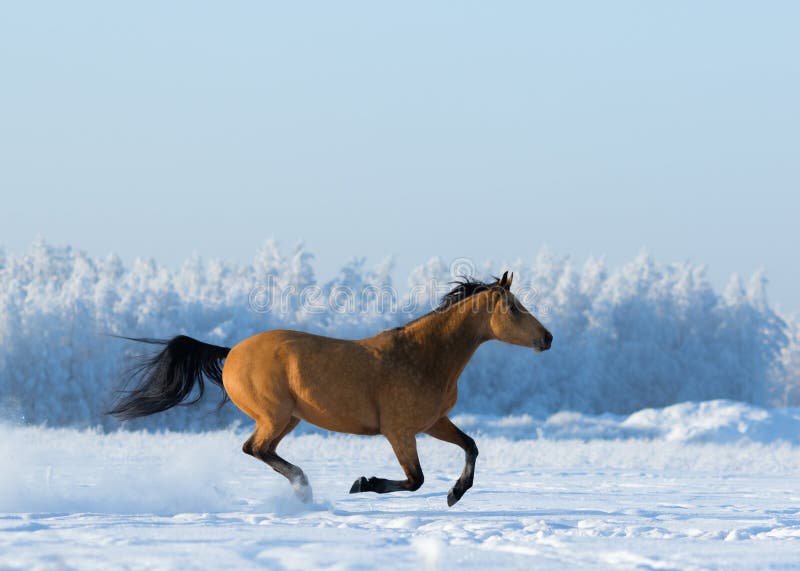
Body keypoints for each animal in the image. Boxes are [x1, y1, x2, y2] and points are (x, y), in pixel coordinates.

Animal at [109, 270, 552, 508]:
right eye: (515, 308)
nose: (547, 339)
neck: (424, 356)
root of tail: (231, 351)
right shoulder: (399, 431)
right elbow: (415, 479)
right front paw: (363, 483)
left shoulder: (433, 422)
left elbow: (471, 446)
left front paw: (456, 494)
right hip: (275, 415)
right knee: (255, 449)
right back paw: (305, 489)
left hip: (287, 419)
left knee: (261, 450)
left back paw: (302, 489)